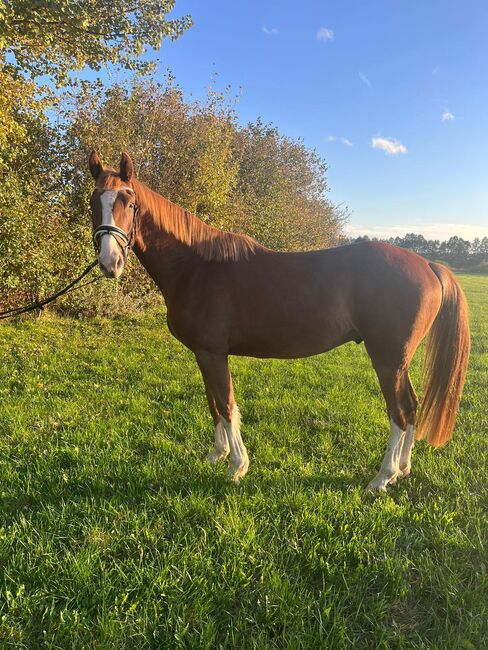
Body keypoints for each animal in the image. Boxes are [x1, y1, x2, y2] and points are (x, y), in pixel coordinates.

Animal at [86, 149, 468, 488]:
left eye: (129, 202)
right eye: (93, 202)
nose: (109, 263)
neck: (195, 266)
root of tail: (428, 264)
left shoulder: (212, 353)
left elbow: (226, 404)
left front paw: (237, 467)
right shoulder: (203, 354)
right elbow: (213, 403)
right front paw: (216, 455)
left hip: (388, 360)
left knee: (399, 411)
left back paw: (382, 477)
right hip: (398, 363)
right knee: (412, 406)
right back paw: (402, 469)